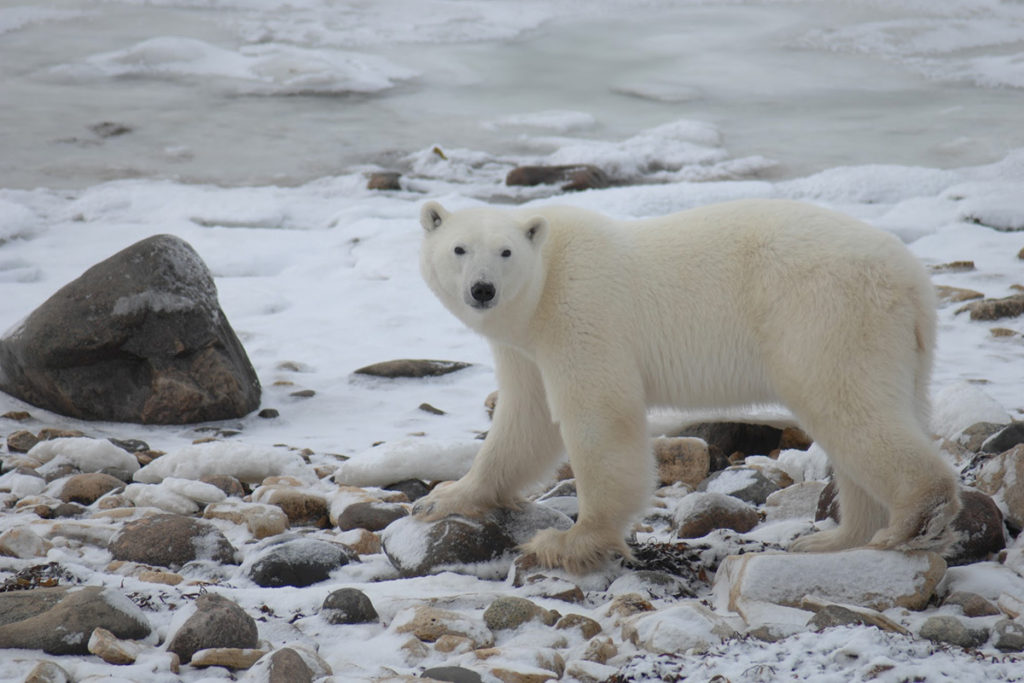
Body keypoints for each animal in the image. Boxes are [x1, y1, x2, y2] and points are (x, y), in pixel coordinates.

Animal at [411, 196, 962, 573]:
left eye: (505, 251)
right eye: (459, 248)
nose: (483, 290)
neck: (545, 282)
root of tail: (912, 279)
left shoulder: (581, 315)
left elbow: (599, 416)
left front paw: (570, 541)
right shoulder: (525, 347)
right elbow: (525, 420)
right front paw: (442, 498)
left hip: (826, 313)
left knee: (848, 406)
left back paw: (911, 518)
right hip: (894, 343)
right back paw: (836, 539)